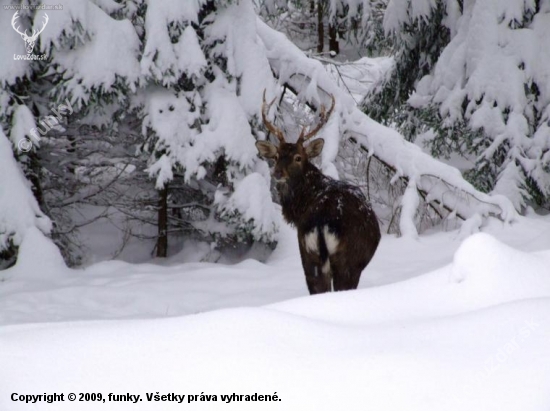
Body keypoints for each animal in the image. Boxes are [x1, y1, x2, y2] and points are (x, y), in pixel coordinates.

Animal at [256, 91, 382, 294]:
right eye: (276, 156)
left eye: (298, 157)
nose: (277, 173)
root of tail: (322, 221)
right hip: (348, 262)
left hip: (308, 255)